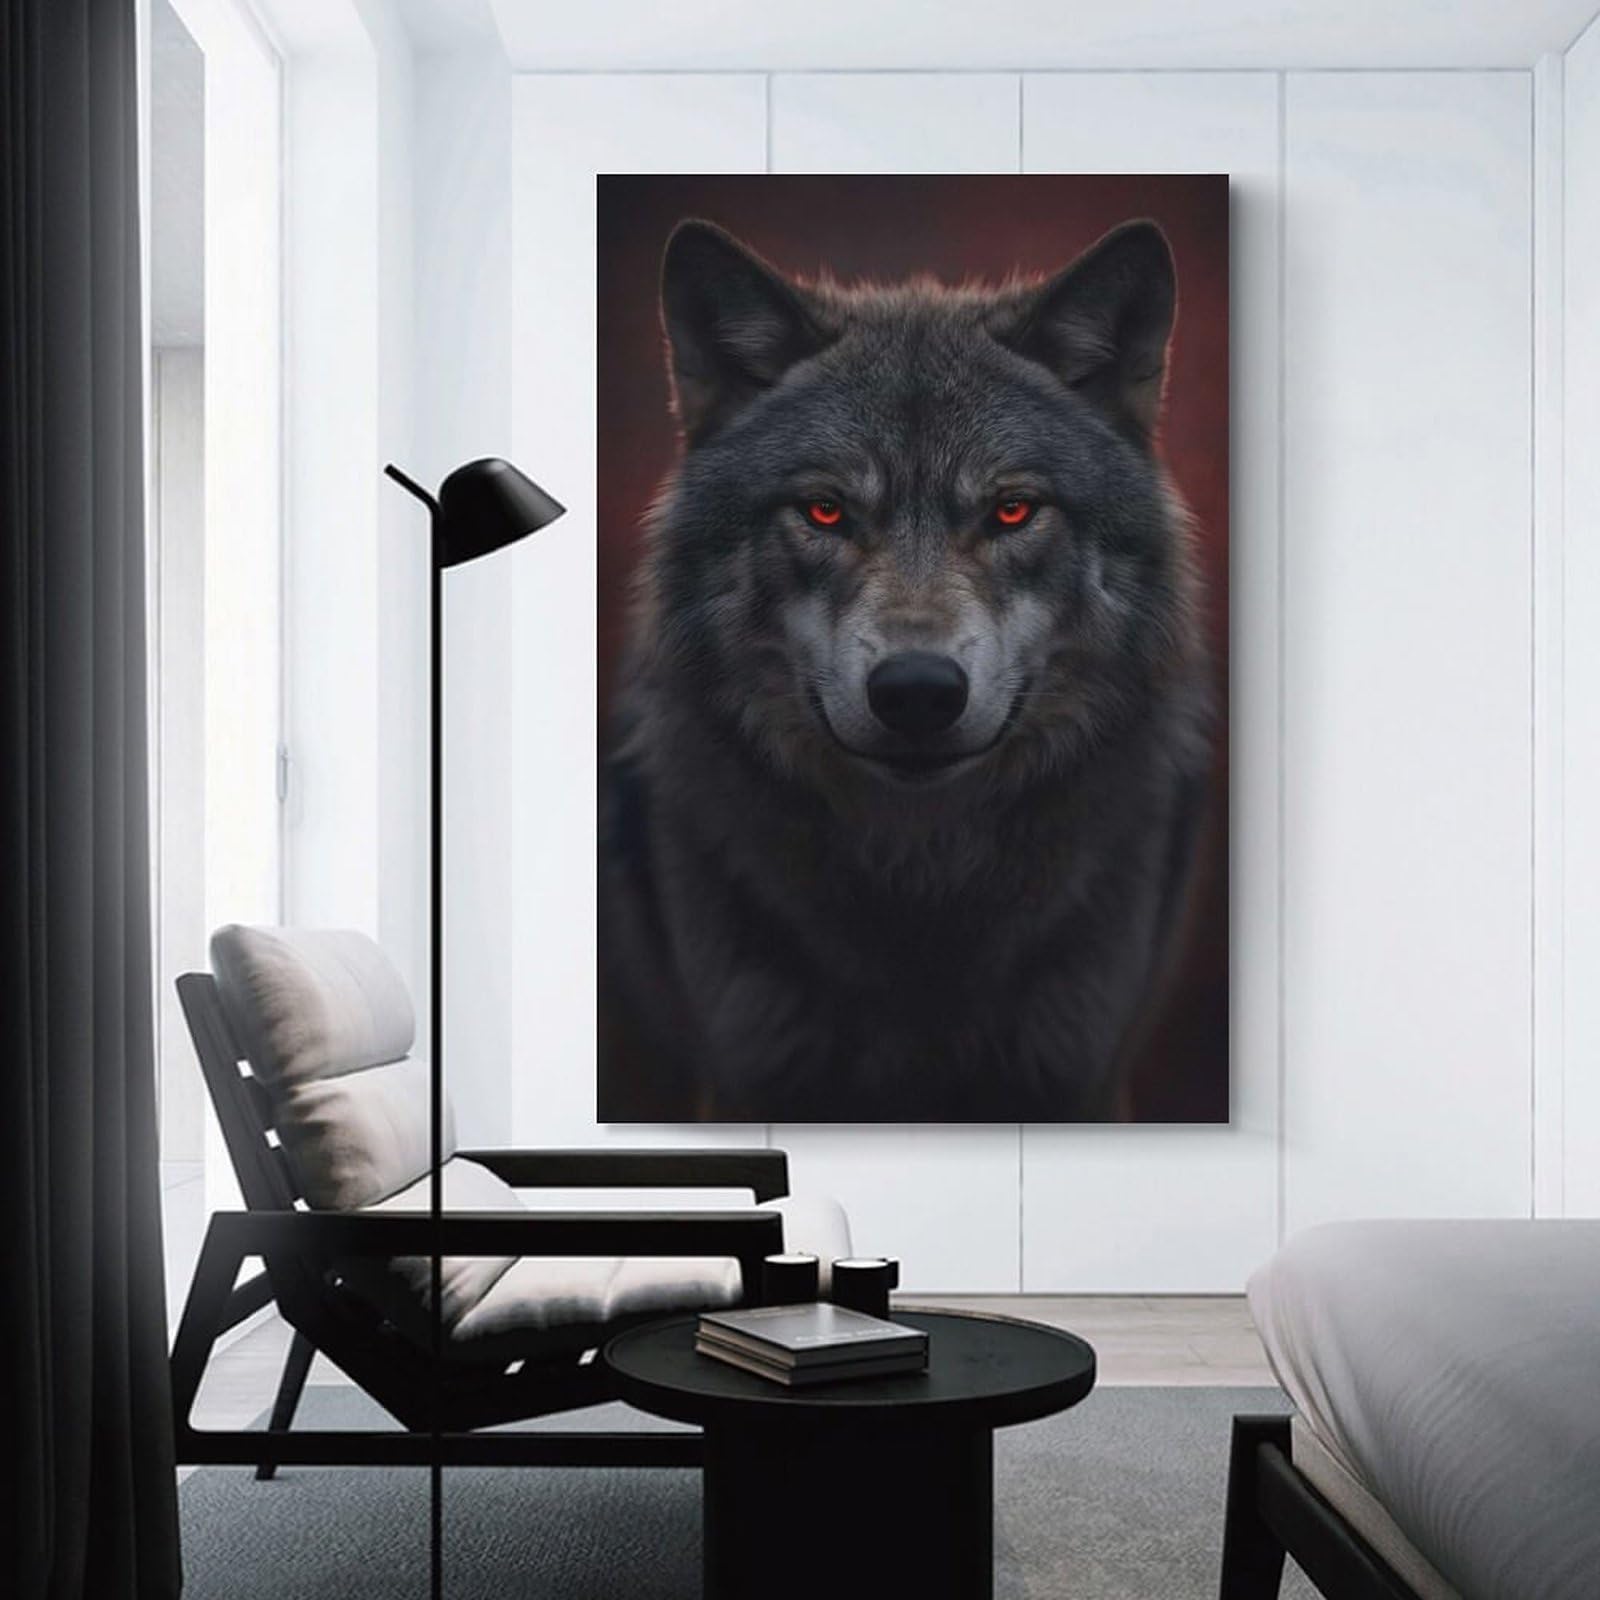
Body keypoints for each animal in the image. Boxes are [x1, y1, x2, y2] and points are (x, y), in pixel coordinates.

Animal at [599, 217, 1214, 1122]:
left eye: (1012, 510)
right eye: (825, 511)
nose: (917, 691)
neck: (920, 886)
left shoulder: (1080, 1077)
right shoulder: (750, 1073)